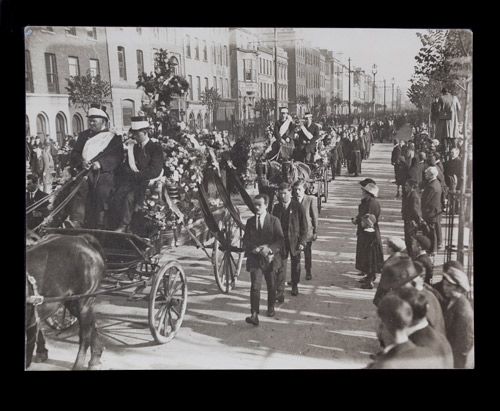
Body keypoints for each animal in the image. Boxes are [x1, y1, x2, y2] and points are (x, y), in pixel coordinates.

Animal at [26, 233, 105, 372]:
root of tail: (83, 239)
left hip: (84, 301)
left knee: (85, 335)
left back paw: (79, 365)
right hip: (71, 302)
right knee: (92, 324)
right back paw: (95, 360)